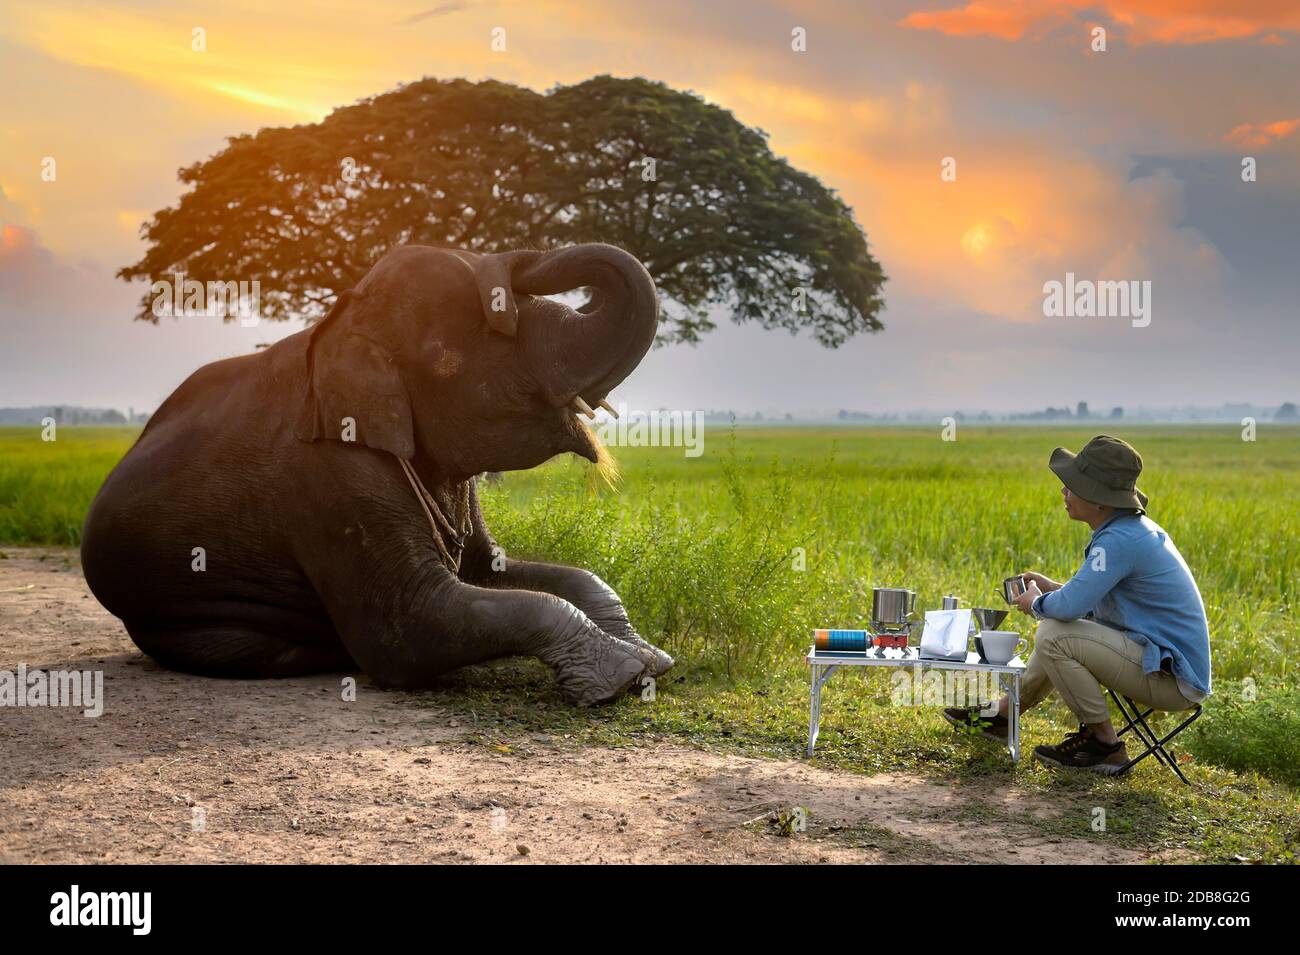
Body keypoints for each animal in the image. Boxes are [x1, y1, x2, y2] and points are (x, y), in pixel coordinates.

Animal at [81, 242, 676, 706]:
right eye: (496, 327)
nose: (506, 263)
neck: (347, 325)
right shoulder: (328, 476)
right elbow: (409, 629)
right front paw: (620, 677)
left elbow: (499, 572)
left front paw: (651, 658)